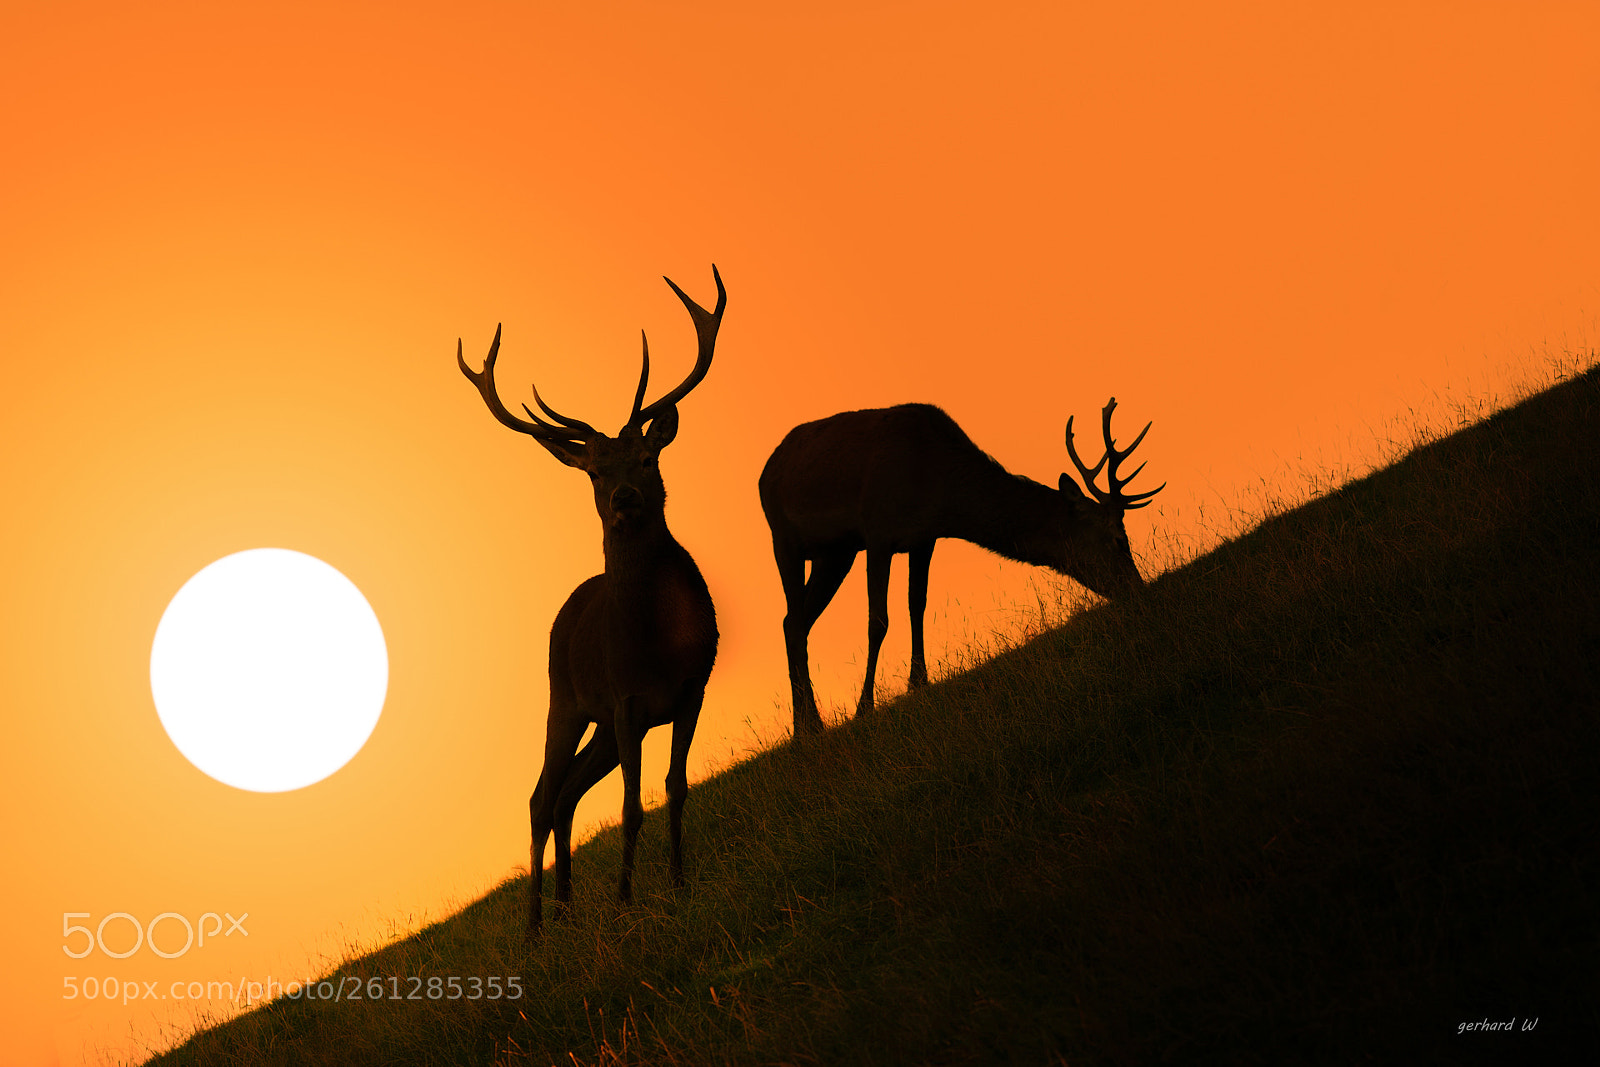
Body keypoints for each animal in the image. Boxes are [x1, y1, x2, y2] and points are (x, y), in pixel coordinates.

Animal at [457, 266, 725, 937]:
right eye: (595, 473)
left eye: (648, 457)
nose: (625, 498)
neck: (657, 643)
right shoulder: (626, 700)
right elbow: (631, 806)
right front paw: (628, 899)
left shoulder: (691, 688)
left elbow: (676, 787)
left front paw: (678, 882)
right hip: (566, 698)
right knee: (541, 794)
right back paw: (534, 926)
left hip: (599, 721)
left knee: (568, 791)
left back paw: (567, 907)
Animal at [759, 398, 1163, 734]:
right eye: (1117, 538)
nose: (1137, 588)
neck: (940, 490)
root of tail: (765, 472)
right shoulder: (877, 531)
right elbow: (878, 621)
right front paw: (864, 708)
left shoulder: (923, 538)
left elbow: (916, 606)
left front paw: (919, 683)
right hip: (784, 539)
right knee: (794, 620)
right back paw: (807, 726)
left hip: (836, 553)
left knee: (794, 622)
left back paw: (808, 723)